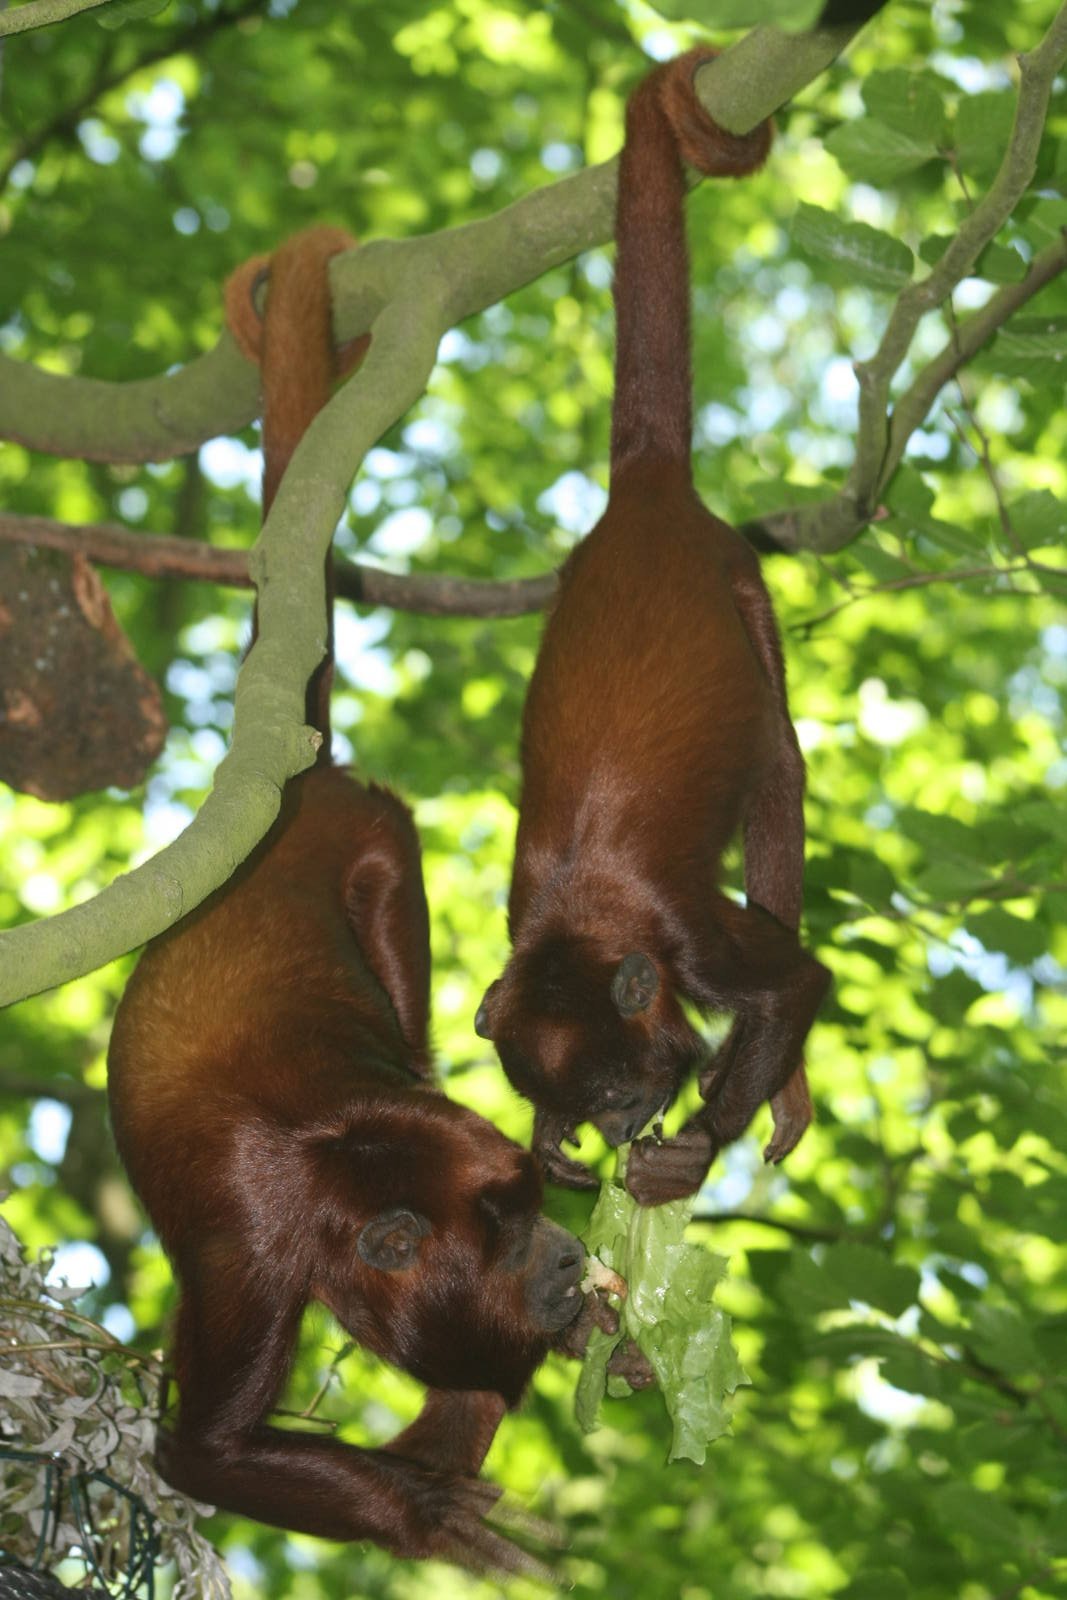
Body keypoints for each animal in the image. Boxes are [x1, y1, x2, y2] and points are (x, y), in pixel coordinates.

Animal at [107, 226, 630, 1576]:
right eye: (503, 1231)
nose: (566, 1247)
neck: (338, 1176)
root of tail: (291, 782)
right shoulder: (249, 1256)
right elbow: (199, 1451)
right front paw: (422, 1510)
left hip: (372, 834)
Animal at [474, 53, 831, 1207]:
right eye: (589, 1097)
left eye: (618, 1084)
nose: (617, 1122)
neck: (583, 924)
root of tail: (642, 491)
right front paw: (541, 1142)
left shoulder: (688, 934)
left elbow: (793, 981)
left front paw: (699, 1145)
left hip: (737, 574)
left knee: (778, 769)